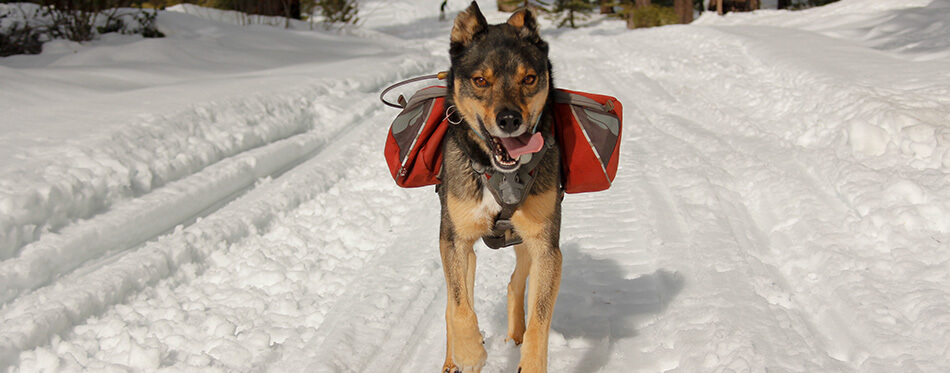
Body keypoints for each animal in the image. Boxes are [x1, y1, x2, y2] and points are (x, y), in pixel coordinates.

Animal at [440, 1, 564, 370]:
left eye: (529, 78)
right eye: (481, 80)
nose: (510, 119)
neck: (501, 175)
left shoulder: (546, 247)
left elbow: (540, 320)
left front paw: (531, 362)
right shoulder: (455, 241)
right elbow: (459, 308)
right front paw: (470, 353)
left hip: (527, 242)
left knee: (515, 283)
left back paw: (515, 334)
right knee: (452, 303)